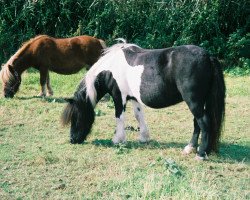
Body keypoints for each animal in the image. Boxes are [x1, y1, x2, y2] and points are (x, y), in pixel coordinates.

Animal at [61, 40, 226, 159]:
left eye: (76, 116)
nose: (72, 139)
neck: (110, 68)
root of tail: (208, 56)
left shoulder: (118, 97)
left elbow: (119, 117)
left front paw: (118, 139)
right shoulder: (134, 98)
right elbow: (138, 115)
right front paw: (144, 137)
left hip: (194, 101)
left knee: (203, 122)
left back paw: (200, 154)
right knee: (197, 123)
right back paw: (190, 148)